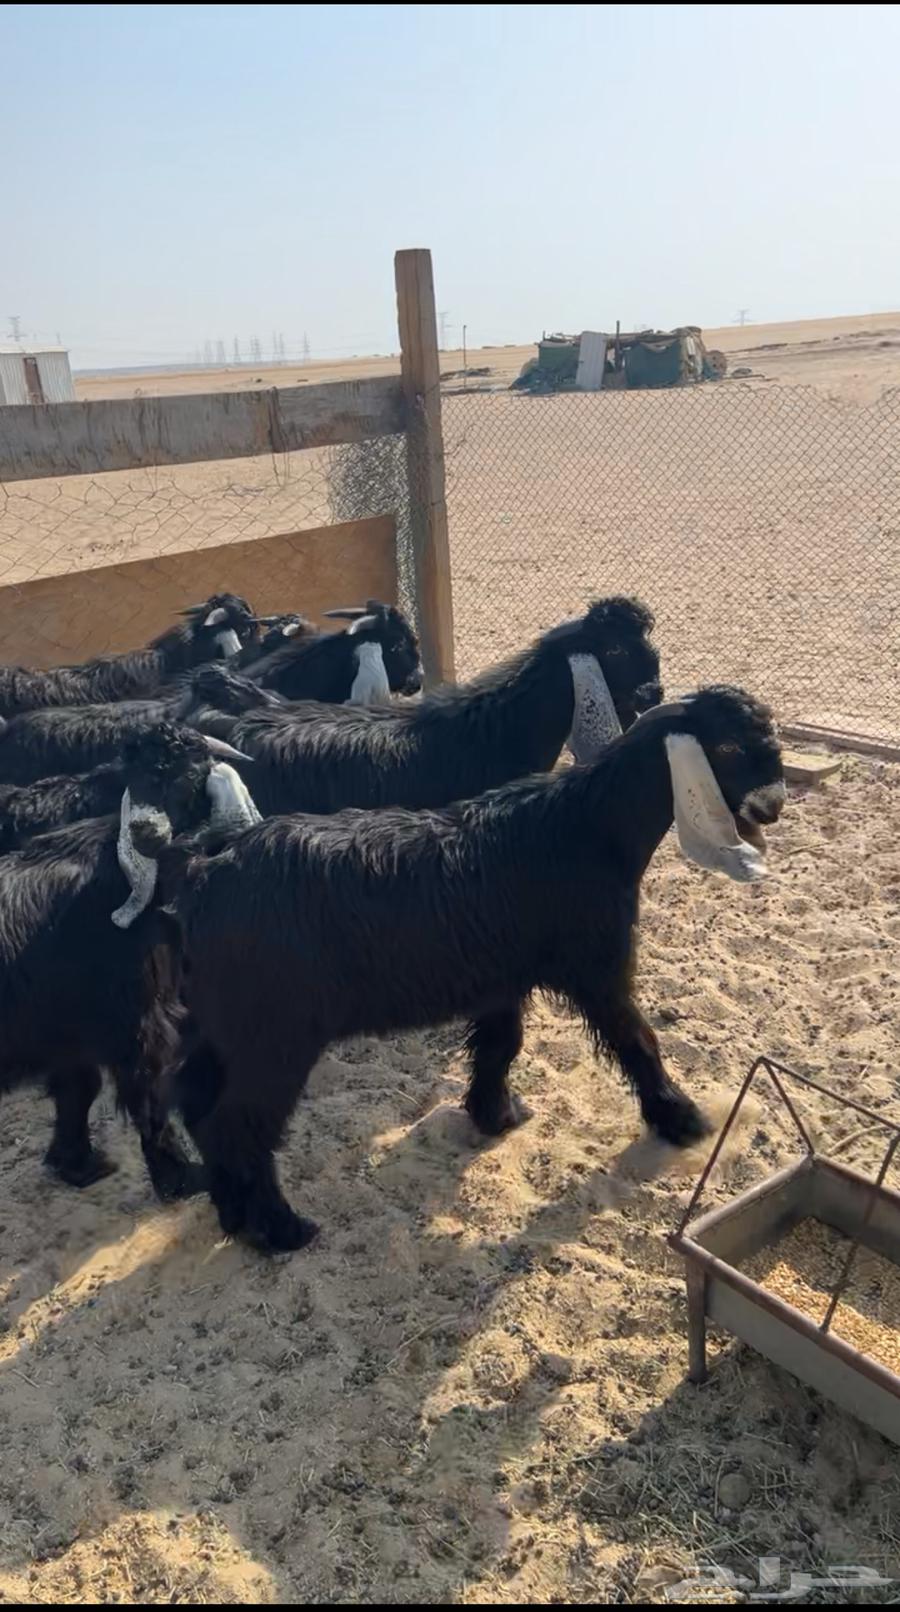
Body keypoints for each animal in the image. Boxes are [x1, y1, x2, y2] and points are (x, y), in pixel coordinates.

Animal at [0, 722, 257, 1198]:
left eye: (189, 774)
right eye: (133, 779)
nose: (144, 830)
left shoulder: (75, 1032)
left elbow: (78, 1089)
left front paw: (77, 1164)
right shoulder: (137, 1023)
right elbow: (147, 1094)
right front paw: (180, 1177)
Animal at [162, 685, 786, 1251]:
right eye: (727, 747)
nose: (773, 807)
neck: (586, 826)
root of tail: (203, 876)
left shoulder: (499, 978)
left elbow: (500, 1045)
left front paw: (494, 1114)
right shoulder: (597, 966)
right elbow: (637, 1041)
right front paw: (681, 1118)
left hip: (222, 1026)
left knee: (195, 1102)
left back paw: (231, 1214)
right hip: (275, 1036)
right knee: (237, 1124)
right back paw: (279, 1229)